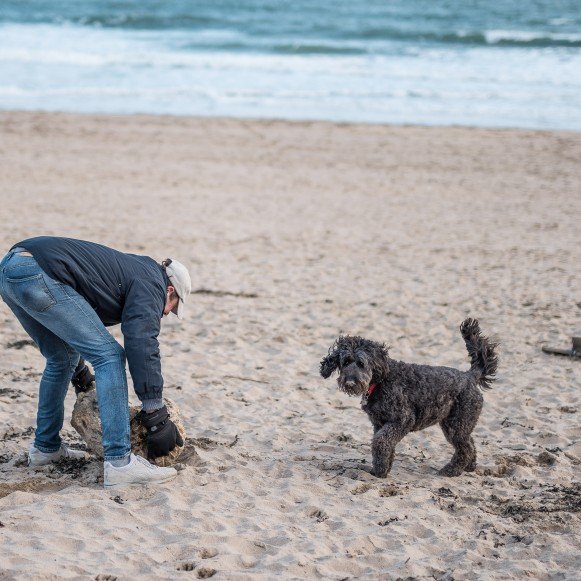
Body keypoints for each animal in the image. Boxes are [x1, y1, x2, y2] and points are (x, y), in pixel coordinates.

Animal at [320, 318, 496, 476]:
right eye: (345, 362)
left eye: (361, 363)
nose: (350, 382)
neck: (381, 380)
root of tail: (470, 376)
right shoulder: (379, 423)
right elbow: (385, 445)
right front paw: (382, 469)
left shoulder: (402, 419)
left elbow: (380, 442)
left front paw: (380, 471)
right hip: (456, 423)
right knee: (470, 442)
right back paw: (470, 467)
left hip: (457, 423)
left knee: (465, 448)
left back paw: (451, 470)